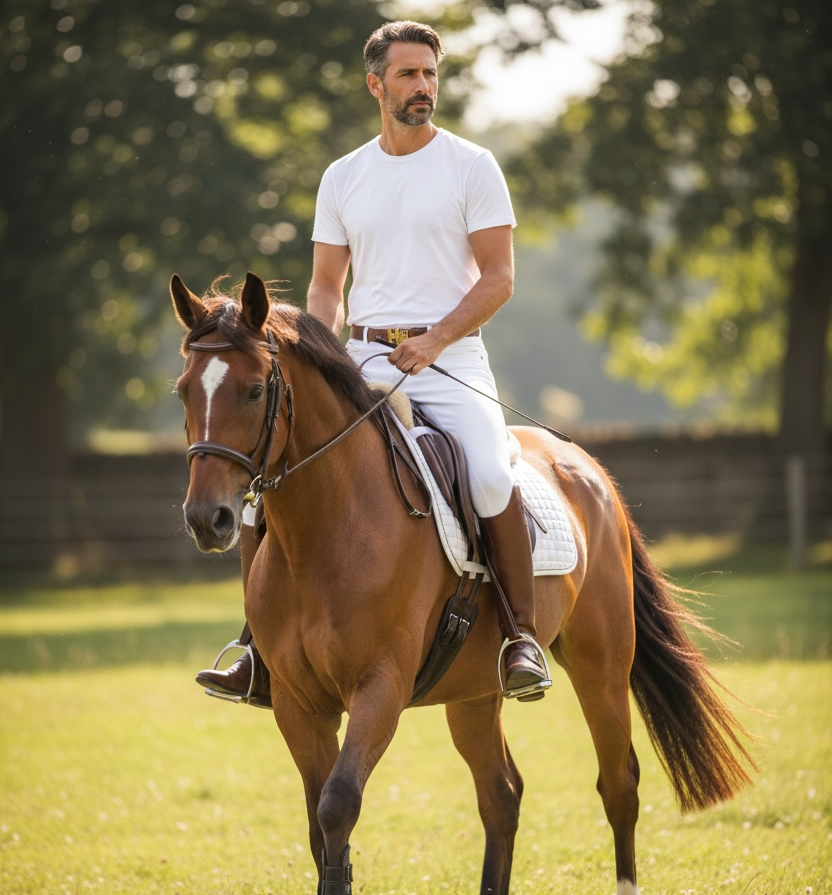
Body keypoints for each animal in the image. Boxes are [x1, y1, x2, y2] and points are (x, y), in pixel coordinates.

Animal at [171, 271, 756, 895]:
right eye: (183, 391)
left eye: (255, 390)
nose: (208, 519)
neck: (326, 532)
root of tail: (589, 469)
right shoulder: (297, 702)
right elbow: (318, 829)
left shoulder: (380, 687)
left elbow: (337, 805)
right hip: (474, 690)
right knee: (502, 793)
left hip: (601, 665)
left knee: (618, 783)